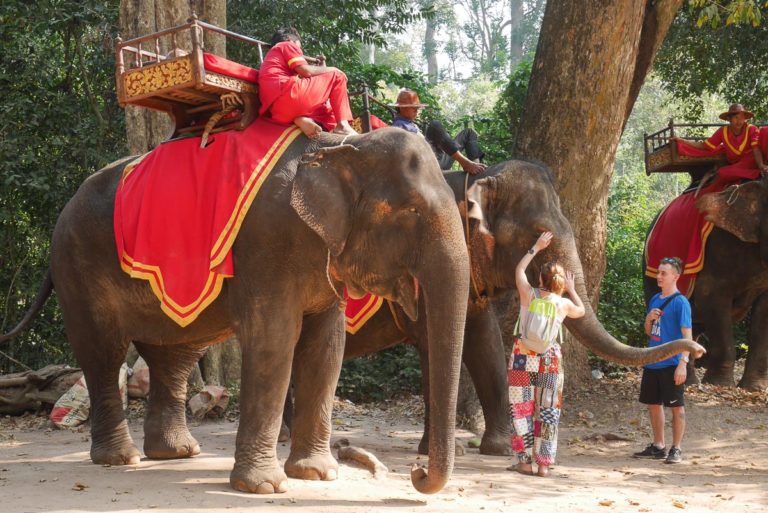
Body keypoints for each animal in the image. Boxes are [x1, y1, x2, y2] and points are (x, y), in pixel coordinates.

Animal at [0, 126, 472, 494]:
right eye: (410, 211)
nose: (417, 472)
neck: (341, 143)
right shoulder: (267, 243)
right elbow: (274, 339)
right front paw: (265, 487)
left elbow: (326, 348)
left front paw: (318, 475)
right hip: (78, 268)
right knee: (103, 354)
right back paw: (122, 459)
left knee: (173, 355)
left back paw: (177, 453)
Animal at [320, 161, 704, 456]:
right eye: (539, 232)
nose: (698, 349)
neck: (473, 182)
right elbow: (437, 343)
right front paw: (443, 452)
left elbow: (486, 342)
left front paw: (499, 448)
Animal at [640, 179, 768, 388]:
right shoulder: (717, 252)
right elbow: (711, 299)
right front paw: (719, 384)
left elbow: (763, 312)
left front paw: (754, 387)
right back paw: (688, 383)